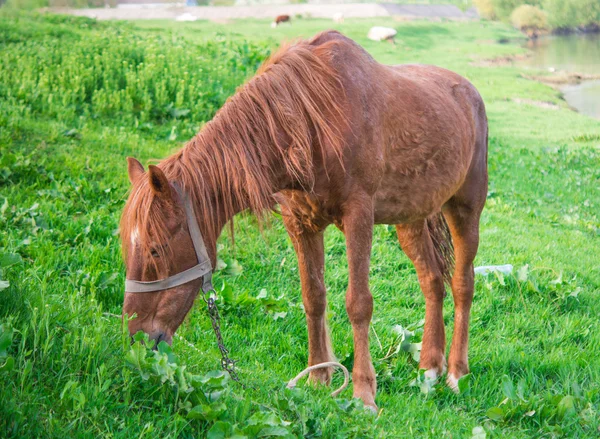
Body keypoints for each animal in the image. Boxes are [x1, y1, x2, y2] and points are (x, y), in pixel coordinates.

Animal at [122, 30, 488, 410]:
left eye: (155, 250)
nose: (136, 339)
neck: (311, 122)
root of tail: (469, 91)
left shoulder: (358, 215)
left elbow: (359, 303)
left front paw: (363, 394)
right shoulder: (299, 223)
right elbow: (313, 297)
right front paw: (317, 378)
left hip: (465, 210)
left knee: (463, 284)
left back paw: (456, 373)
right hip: (411, 219)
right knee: (432, 281)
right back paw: (430, 367)